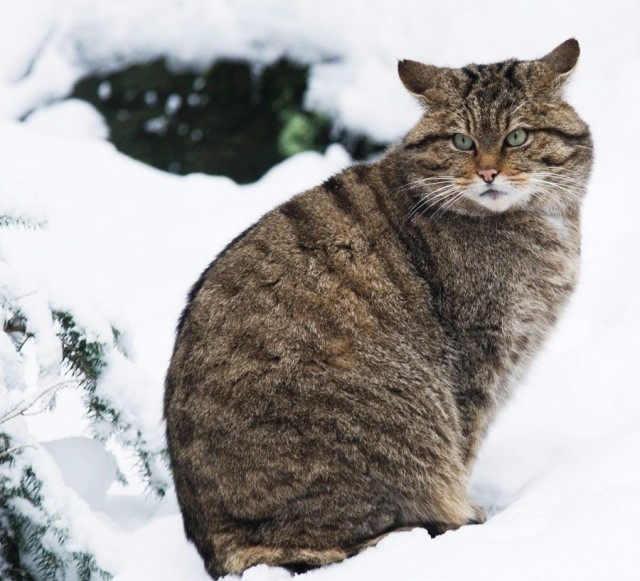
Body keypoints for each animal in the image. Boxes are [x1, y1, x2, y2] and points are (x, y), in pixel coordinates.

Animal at [164, 39, 592, 576]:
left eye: (517, 136)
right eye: (461, 141)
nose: (488, 172)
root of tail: (218, 544)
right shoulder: (479, 361)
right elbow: (465, 446)